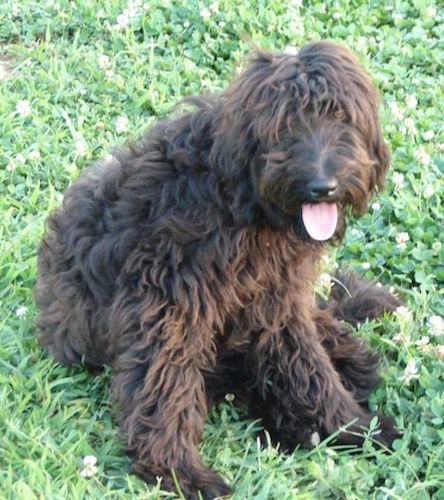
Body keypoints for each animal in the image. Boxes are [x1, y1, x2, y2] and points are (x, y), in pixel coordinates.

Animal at [36, 41, 400, 498]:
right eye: (284, 125)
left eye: (340, 117)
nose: (323, 186)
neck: (243, 198)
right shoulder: (167, 299)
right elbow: (165, 382)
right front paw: (177, 470)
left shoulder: (278, 297)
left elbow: (306, 364)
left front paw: (352, 427)